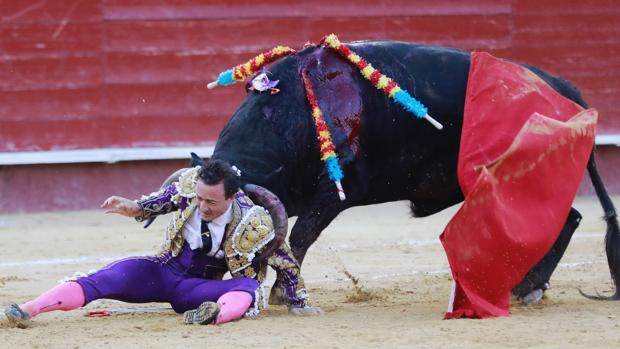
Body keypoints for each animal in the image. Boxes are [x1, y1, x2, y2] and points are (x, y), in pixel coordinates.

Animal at [206, 40, 616, 300]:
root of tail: (566, 91)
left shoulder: (336, 192)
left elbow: (300, 237)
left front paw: (280, 292)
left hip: (523, 177)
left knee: (566, 219)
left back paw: (528, 287)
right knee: (566, 218)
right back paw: (524, 285)